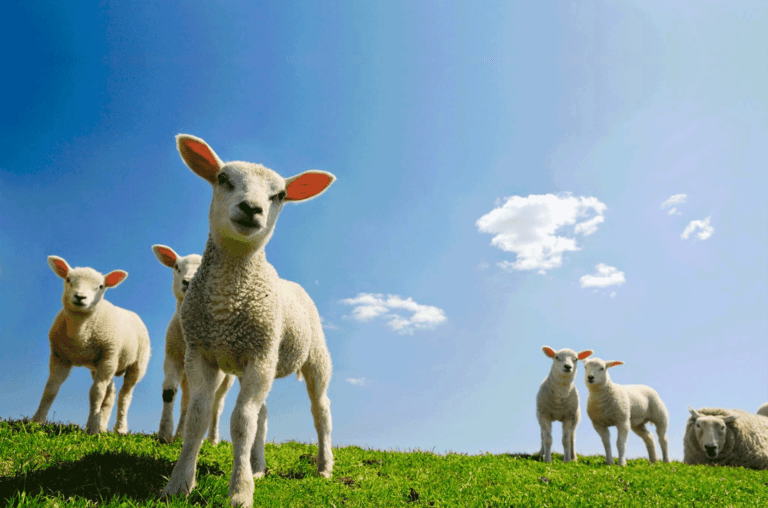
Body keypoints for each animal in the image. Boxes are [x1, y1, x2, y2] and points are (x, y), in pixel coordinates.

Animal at [32, 256, 151, 434]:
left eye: (101, 286)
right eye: (68, 279)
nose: (80, 297)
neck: (80, 335)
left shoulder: (108, 356)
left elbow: (96, 393)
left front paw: (92, 428)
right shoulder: (59, 356)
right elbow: (50, 389)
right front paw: (36, 421)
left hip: (136, 364)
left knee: (125, 396)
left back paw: (120, 428)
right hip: (102, 364)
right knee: (111, 393)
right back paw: (103, 426)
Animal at [150, 244, 234, 442]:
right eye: (176, 267)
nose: (188, 282)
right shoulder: (172, 357)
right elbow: (169, 392)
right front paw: (164, 434)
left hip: (227, 378)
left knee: (217, 404)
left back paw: (212, 439)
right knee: (187, 400)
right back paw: (180, 433)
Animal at [160, 135, 334, 508]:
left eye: (279, 195)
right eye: (223, 179)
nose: (252, 208)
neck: (226, 304)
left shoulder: (259, 355)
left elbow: (241, 422)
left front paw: (240, 492)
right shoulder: (201, 353)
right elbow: (198, 417)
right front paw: (179, 483)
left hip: (311, 357)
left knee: (321, 412)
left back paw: (324, 467)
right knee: (262, 415)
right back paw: (258, 466)